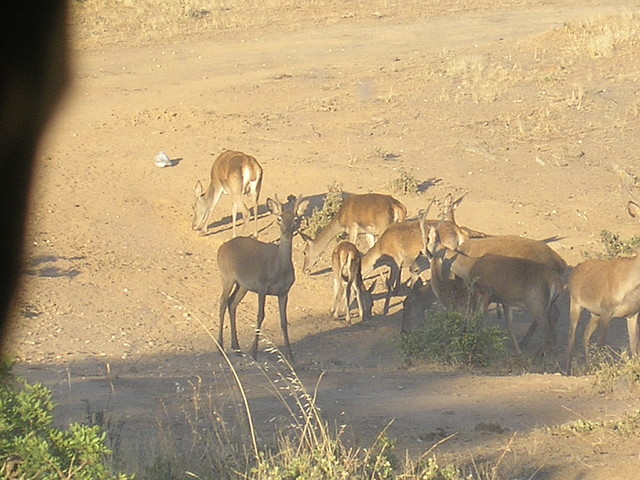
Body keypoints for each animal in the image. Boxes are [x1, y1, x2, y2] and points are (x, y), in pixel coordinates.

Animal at [216, 195, 308, 360]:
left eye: (296, 219)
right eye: (279, 218)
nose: (287, 232)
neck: (278, 270)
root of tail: (221, 248)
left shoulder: (284, 292)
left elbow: (284, 321)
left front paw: (290, 355)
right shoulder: (262, 285)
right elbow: (260, 315)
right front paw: (254, 351)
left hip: (242, 285)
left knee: (232, 303)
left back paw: (236, 346)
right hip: (226, 277)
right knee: (223, 302)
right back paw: (220, 346)